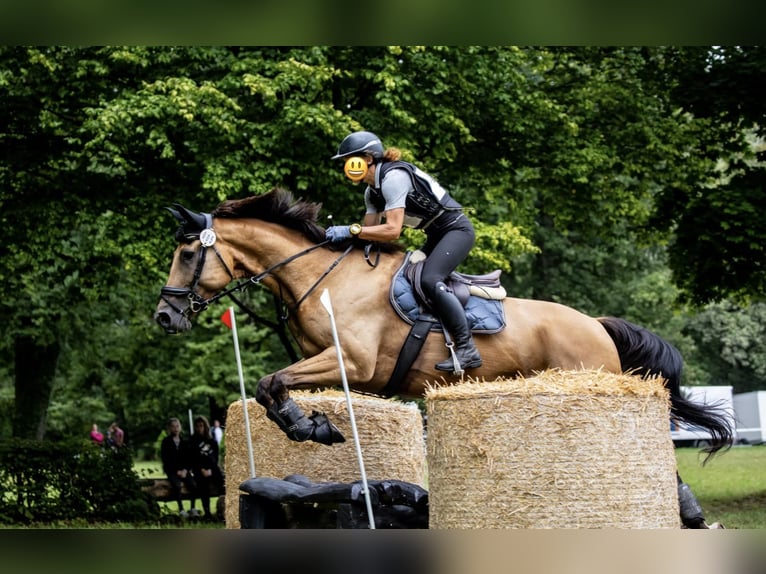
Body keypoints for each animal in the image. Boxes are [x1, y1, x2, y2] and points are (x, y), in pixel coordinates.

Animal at [154, 189, 732, 532]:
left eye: (187, 254)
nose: (164, 316)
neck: (322, 277)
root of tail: (595, 323)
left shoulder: (353, 363)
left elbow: (273, 383)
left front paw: (310, 427)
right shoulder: (341, 368)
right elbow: (272, 386)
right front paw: (315, 425)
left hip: (595, 381)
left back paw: (692, 516)